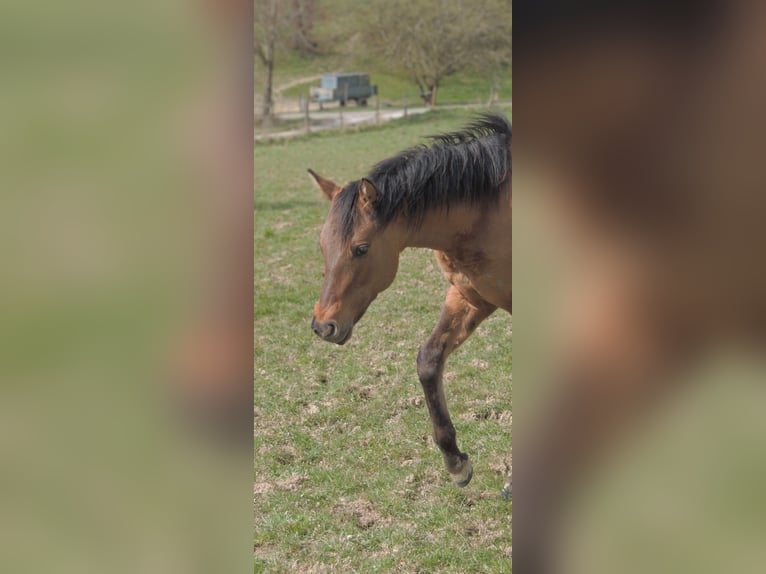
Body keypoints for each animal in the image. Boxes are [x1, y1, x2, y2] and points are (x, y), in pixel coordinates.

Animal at [307, 113, 512, 492]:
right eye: (322, 245)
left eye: (361, 248)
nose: (323, 325)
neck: (490, 212)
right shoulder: (471, 296)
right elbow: (429, 361)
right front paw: (456, 462)